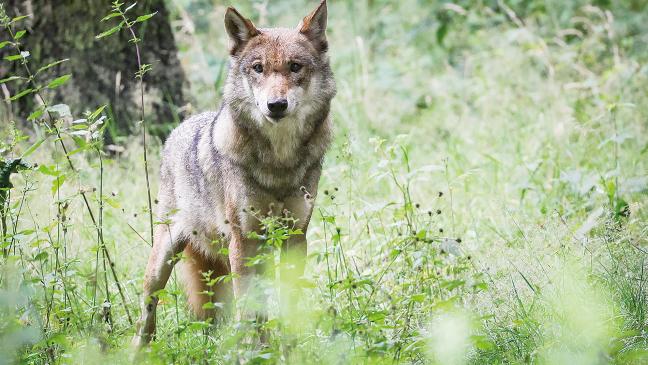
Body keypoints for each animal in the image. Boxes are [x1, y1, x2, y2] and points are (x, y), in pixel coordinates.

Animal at [131, 0, 334, 346]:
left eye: (295, 67)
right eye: (258, 68)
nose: (276, 105)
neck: (278, 163)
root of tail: (181, 126)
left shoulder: (295, 237)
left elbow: (288, 304)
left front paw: (289, 348)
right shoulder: (243, 239)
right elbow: (248, 307)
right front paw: (254, 350)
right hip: (164, 258)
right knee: (147, 311)